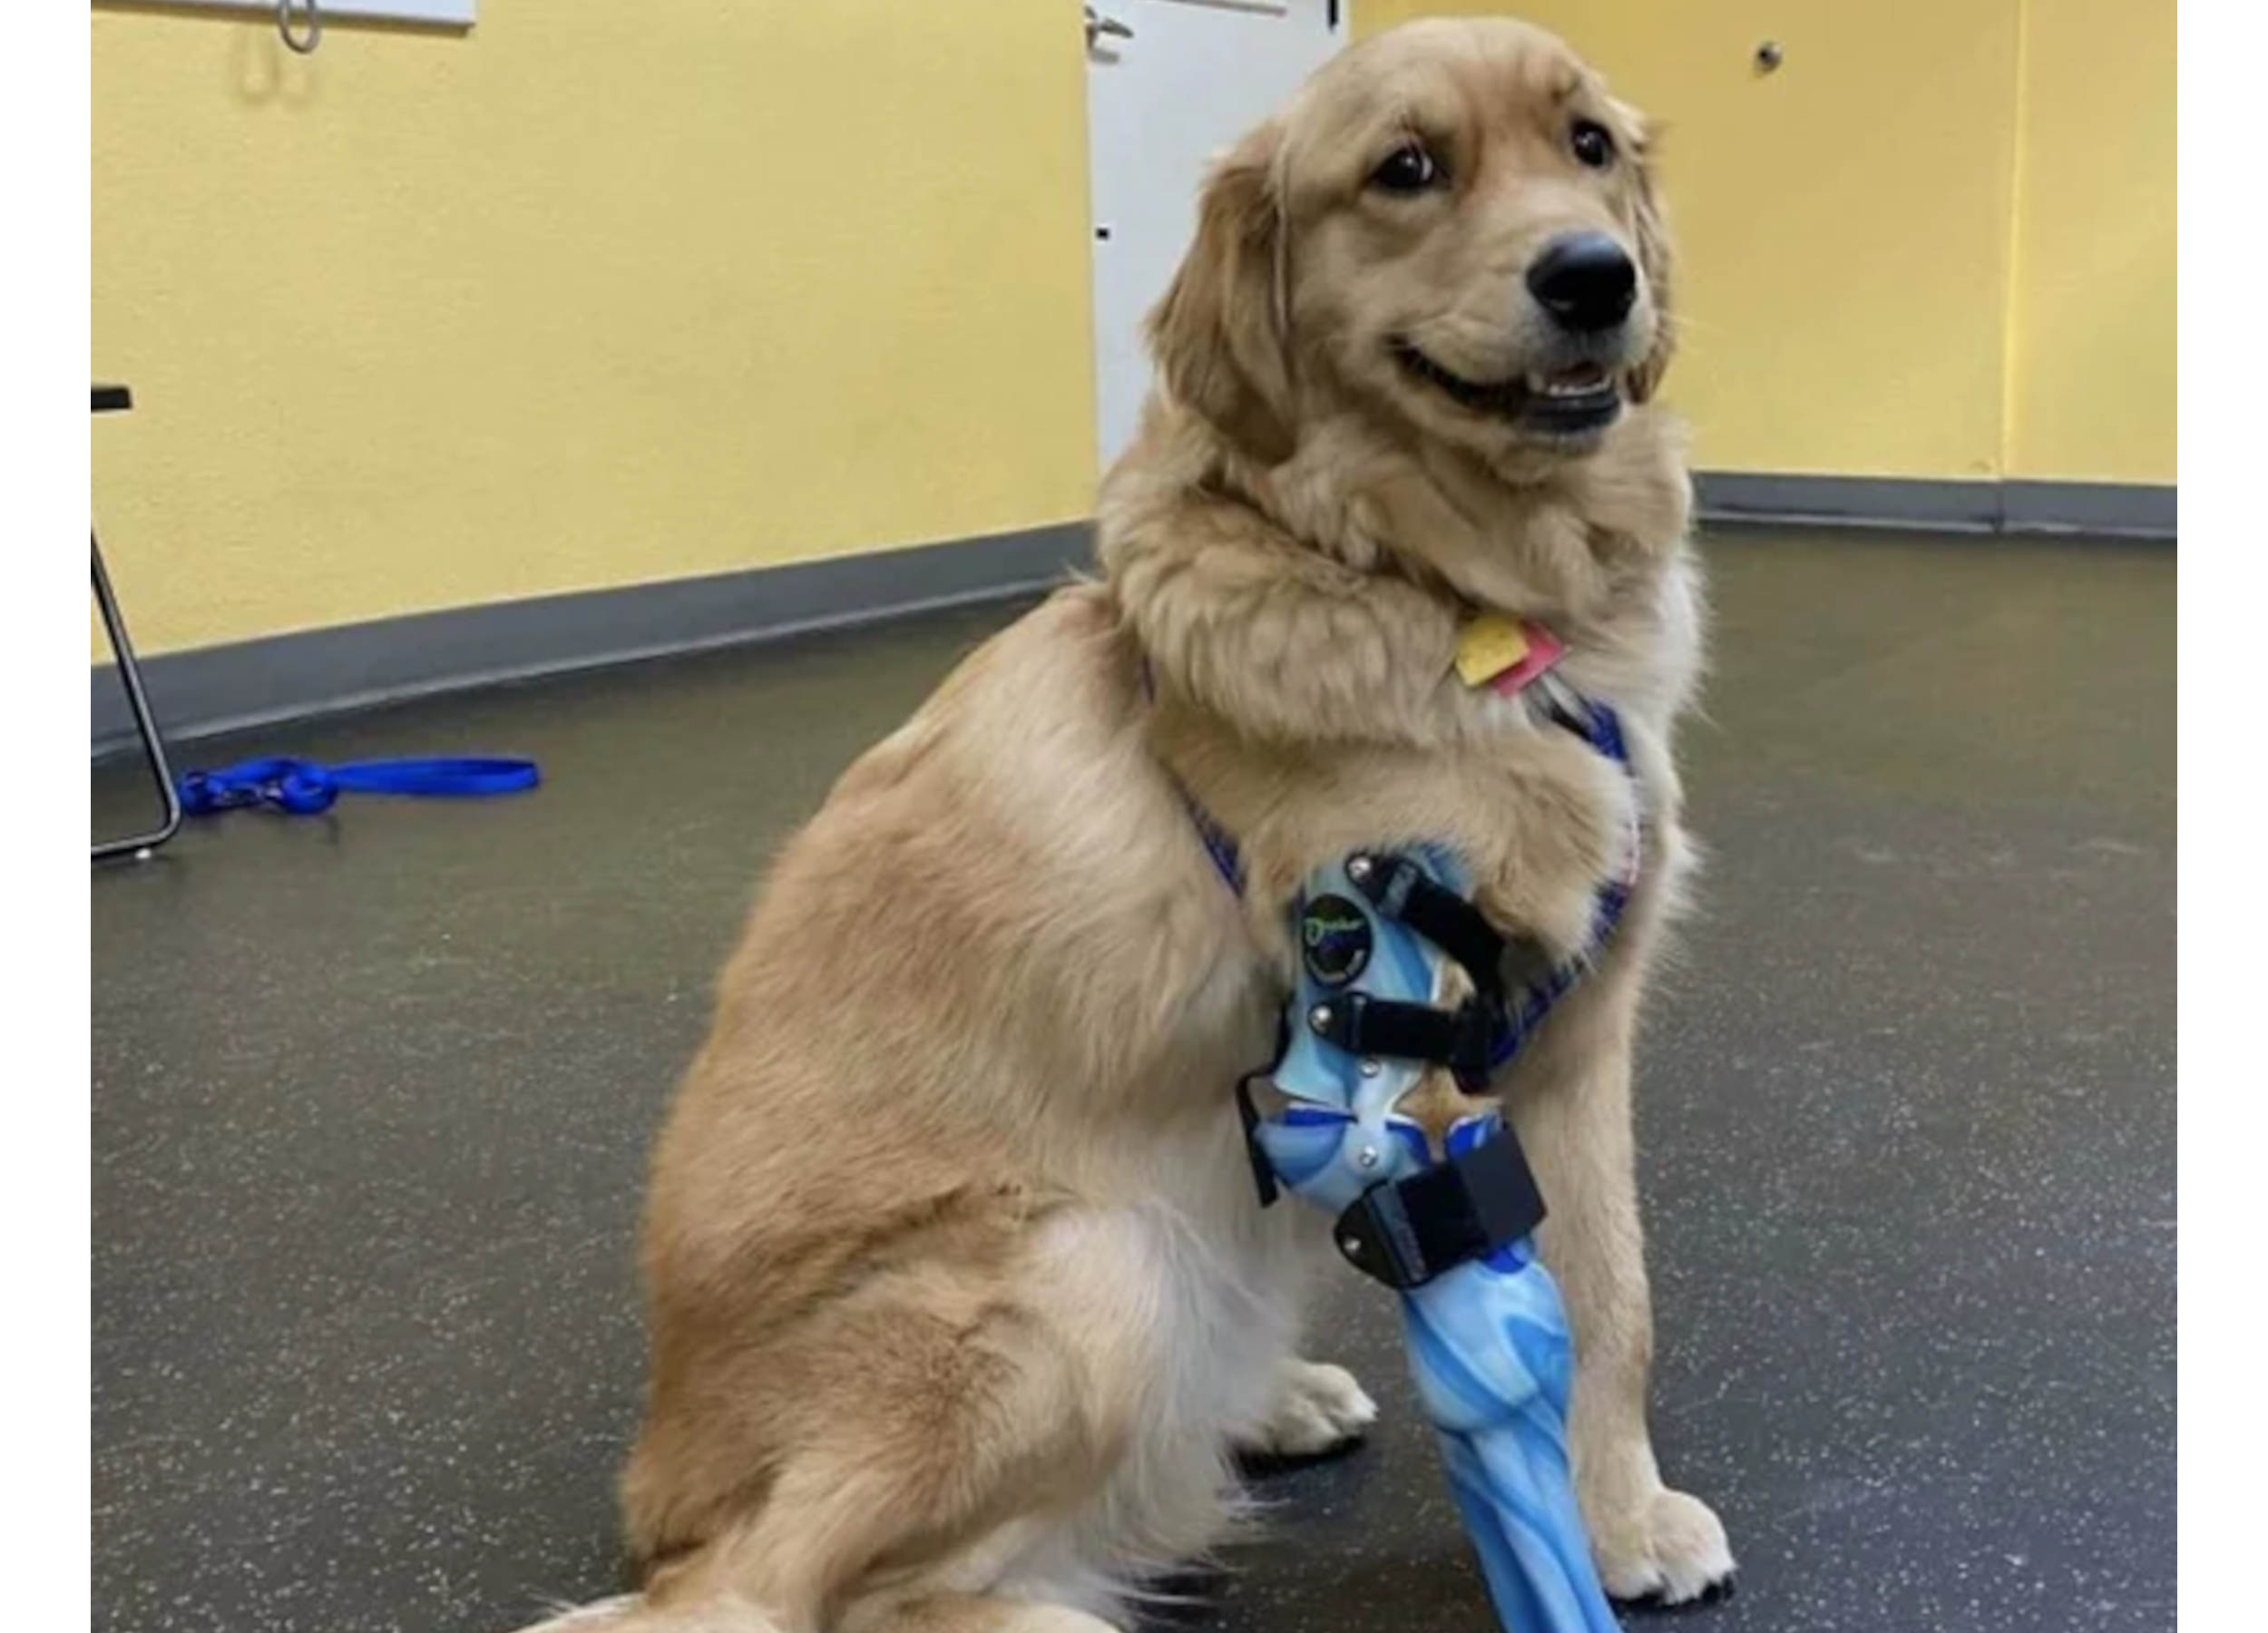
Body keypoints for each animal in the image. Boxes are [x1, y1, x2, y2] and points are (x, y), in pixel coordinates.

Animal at [519, 15, 1715, 1633]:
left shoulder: (1574, 1031)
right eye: (1407, 170)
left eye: (1586, 144)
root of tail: (663, 1496)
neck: (1448, 594)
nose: (1595, 276)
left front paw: (1617, 1518)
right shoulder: (1403, 1042)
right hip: (1089, 1265)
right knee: (787, 1590)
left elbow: (1611, 1295)